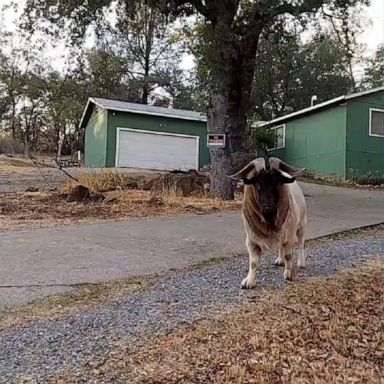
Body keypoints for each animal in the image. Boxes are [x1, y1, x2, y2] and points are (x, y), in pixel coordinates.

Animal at [230, 157, 308, 288]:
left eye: (278, 183)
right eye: (257, 183)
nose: (269, 207)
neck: (269, 221)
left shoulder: (290, 236)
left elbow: (289, 256)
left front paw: (289, 274)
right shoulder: (251, 240)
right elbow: (254, 262)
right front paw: (249, 281)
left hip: (302, 225)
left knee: (301, 243)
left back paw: (301, 263)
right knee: (281, 246)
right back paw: (280, 260)